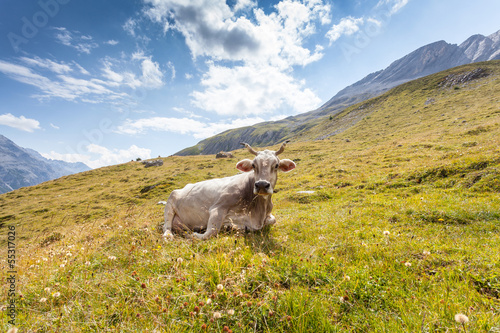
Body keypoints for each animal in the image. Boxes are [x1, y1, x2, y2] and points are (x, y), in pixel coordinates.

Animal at [164, 140, 296, 239]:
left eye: (276, 165)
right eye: (253, 165)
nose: (262, 185)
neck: (258, 211)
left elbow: (272, 220)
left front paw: (232, 226)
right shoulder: (218, 207)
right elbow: (211, 232)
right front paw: (193, 235)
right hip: (170, 201)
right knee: (166, 226)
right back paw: (168, 236)